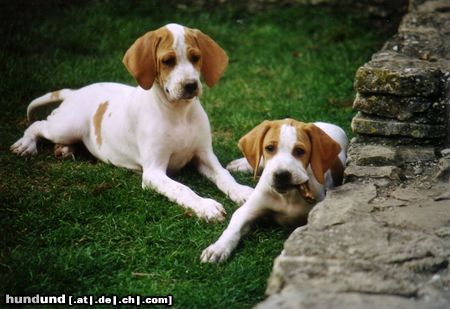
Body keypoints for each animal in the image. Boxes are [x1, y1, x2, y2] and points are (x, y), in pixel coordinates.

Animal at [10, 23, 253, 221]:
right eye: (168, 61)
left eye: (195, 58)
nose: (191, 85)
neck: (179, 113)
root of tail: (75, 92)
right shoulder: (154, 171)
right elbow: (182, 189)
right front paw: (205, 206)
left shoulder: (204, 155)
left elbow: (224, 176)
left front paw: (242, 191)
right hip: (65, 126)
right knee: (38, 125)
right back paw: (26, 145)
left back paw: (64, 149)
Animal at [200, 118, 348, 262]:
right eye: (270, 148)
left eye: (300, 151)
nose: (281, 175)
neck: (288, 196)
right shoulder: (248, 210)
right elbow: (233, 229)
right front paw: (218, 248)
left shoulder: (315, 216)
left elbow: (299, 230)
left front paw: (288, 251)